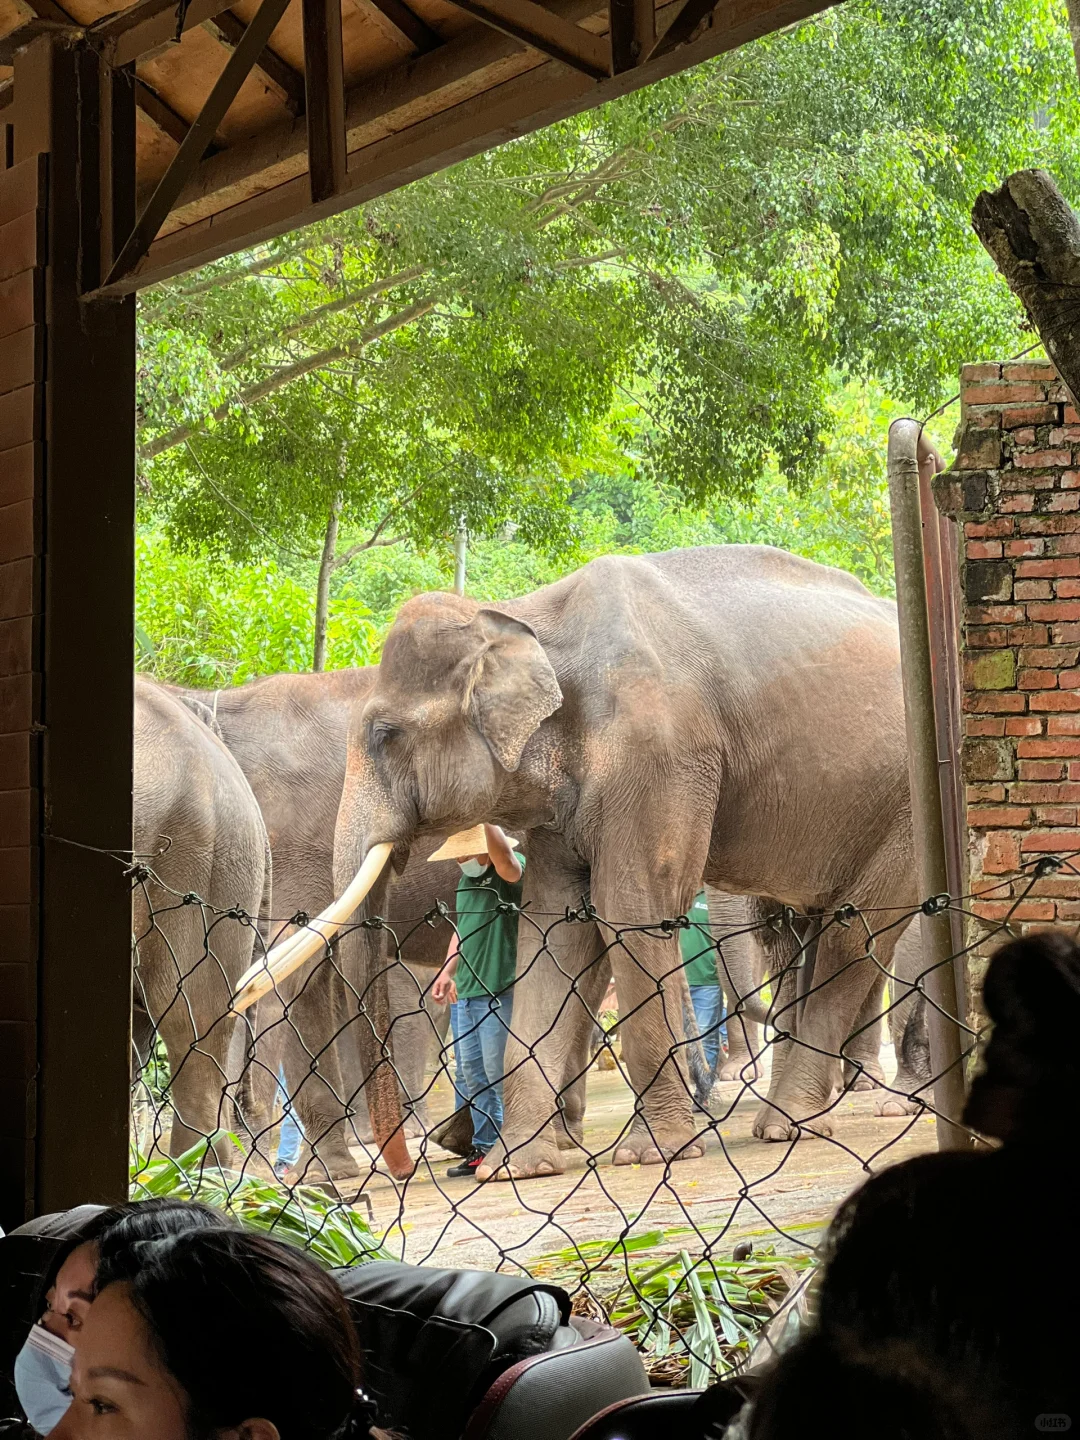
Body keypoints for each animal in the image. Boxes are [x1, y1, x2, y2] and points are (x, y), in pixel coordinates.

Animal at [326, 543, 920, 1179]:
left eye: (385, 734)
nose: (403, 1168)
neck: (525, 615)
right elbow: (552, 928)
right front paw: (515, 1167)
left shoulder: (659, 753)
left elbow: (631, 910)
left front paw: (652, 1154)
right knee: (805, 934)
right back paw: (789, 1122)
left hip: (907, 807)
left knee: (853, 933)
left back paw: (789, 1124)